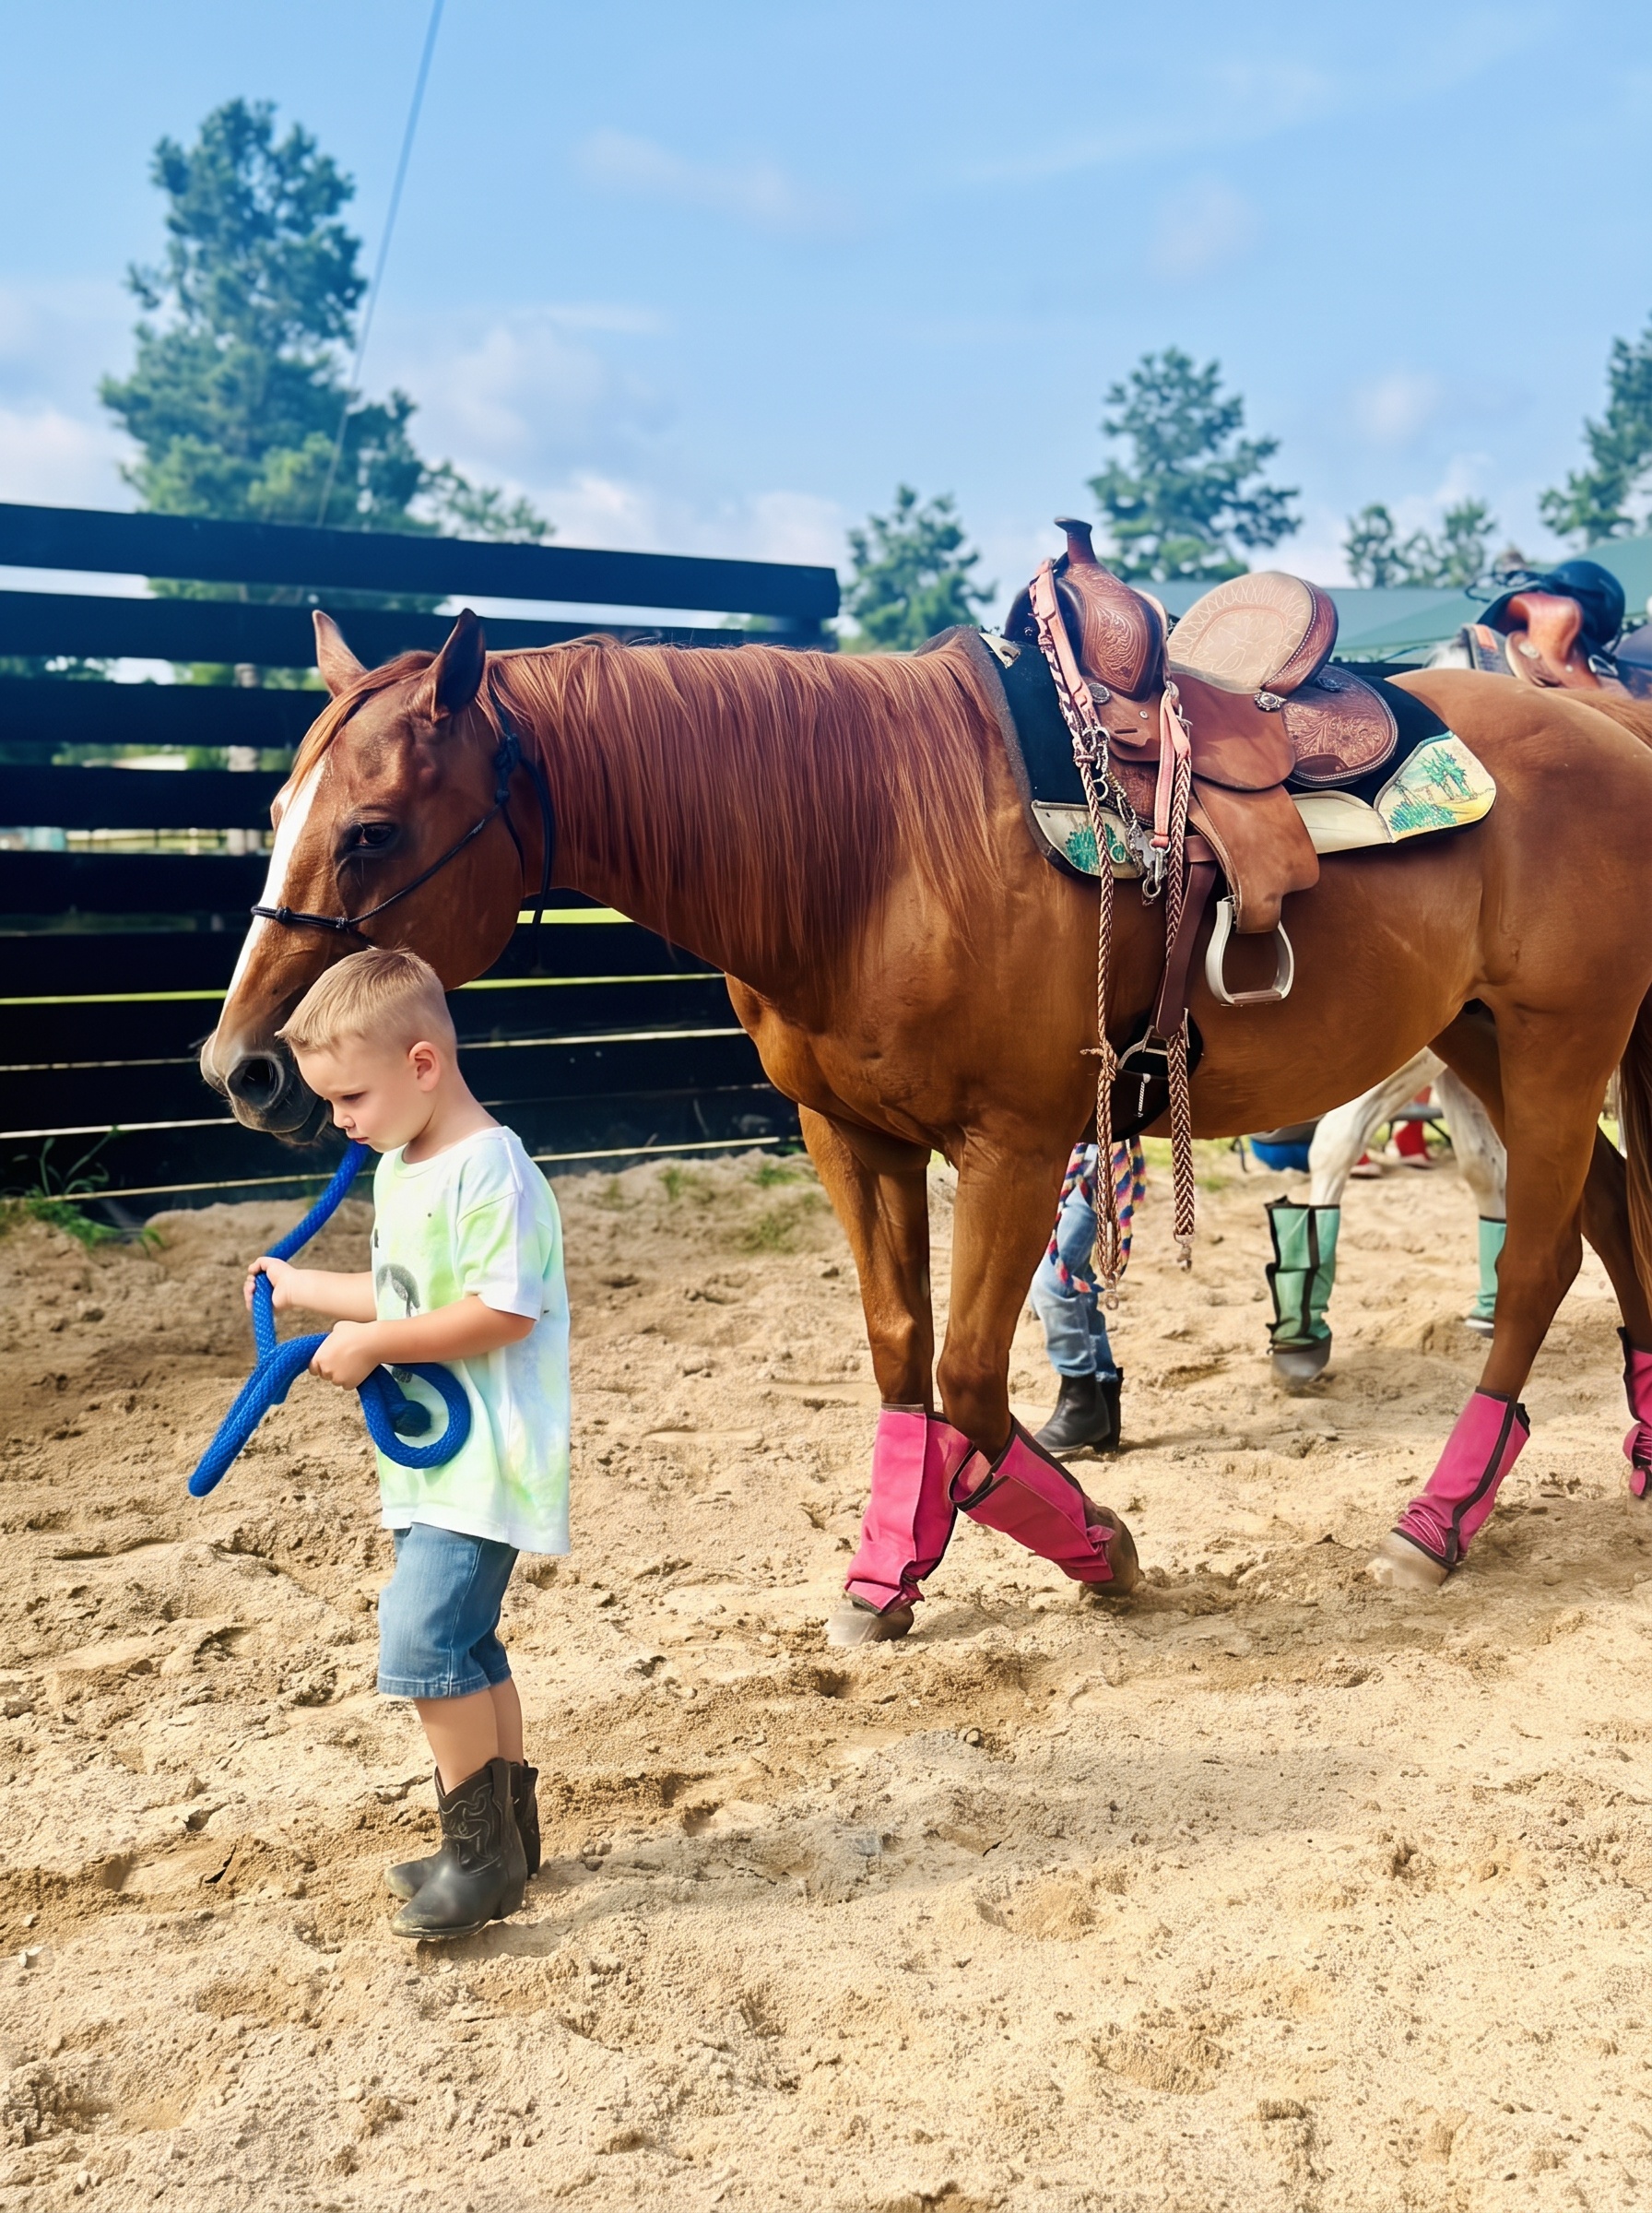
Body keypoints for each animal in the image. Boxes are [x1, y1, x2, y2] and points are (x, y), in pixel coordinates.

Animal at [200, 607, 1652, 1637]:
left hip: (1557, 1040)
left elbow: (966, 1381)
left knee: (1539, 1259)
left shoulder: (1016, 1142)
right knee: (1610, 1215)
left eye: (374, 831)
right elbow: (902, 1357)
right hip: (1485, 1036)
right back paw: (1638, 1453)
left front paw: (1095, 1547)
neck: (874, 850)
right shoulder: (849, 1139)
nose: (244, 1068)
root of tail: (1613, 737)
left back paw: (1438, 1518)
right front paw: (890, 1567)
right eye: (274, 813)